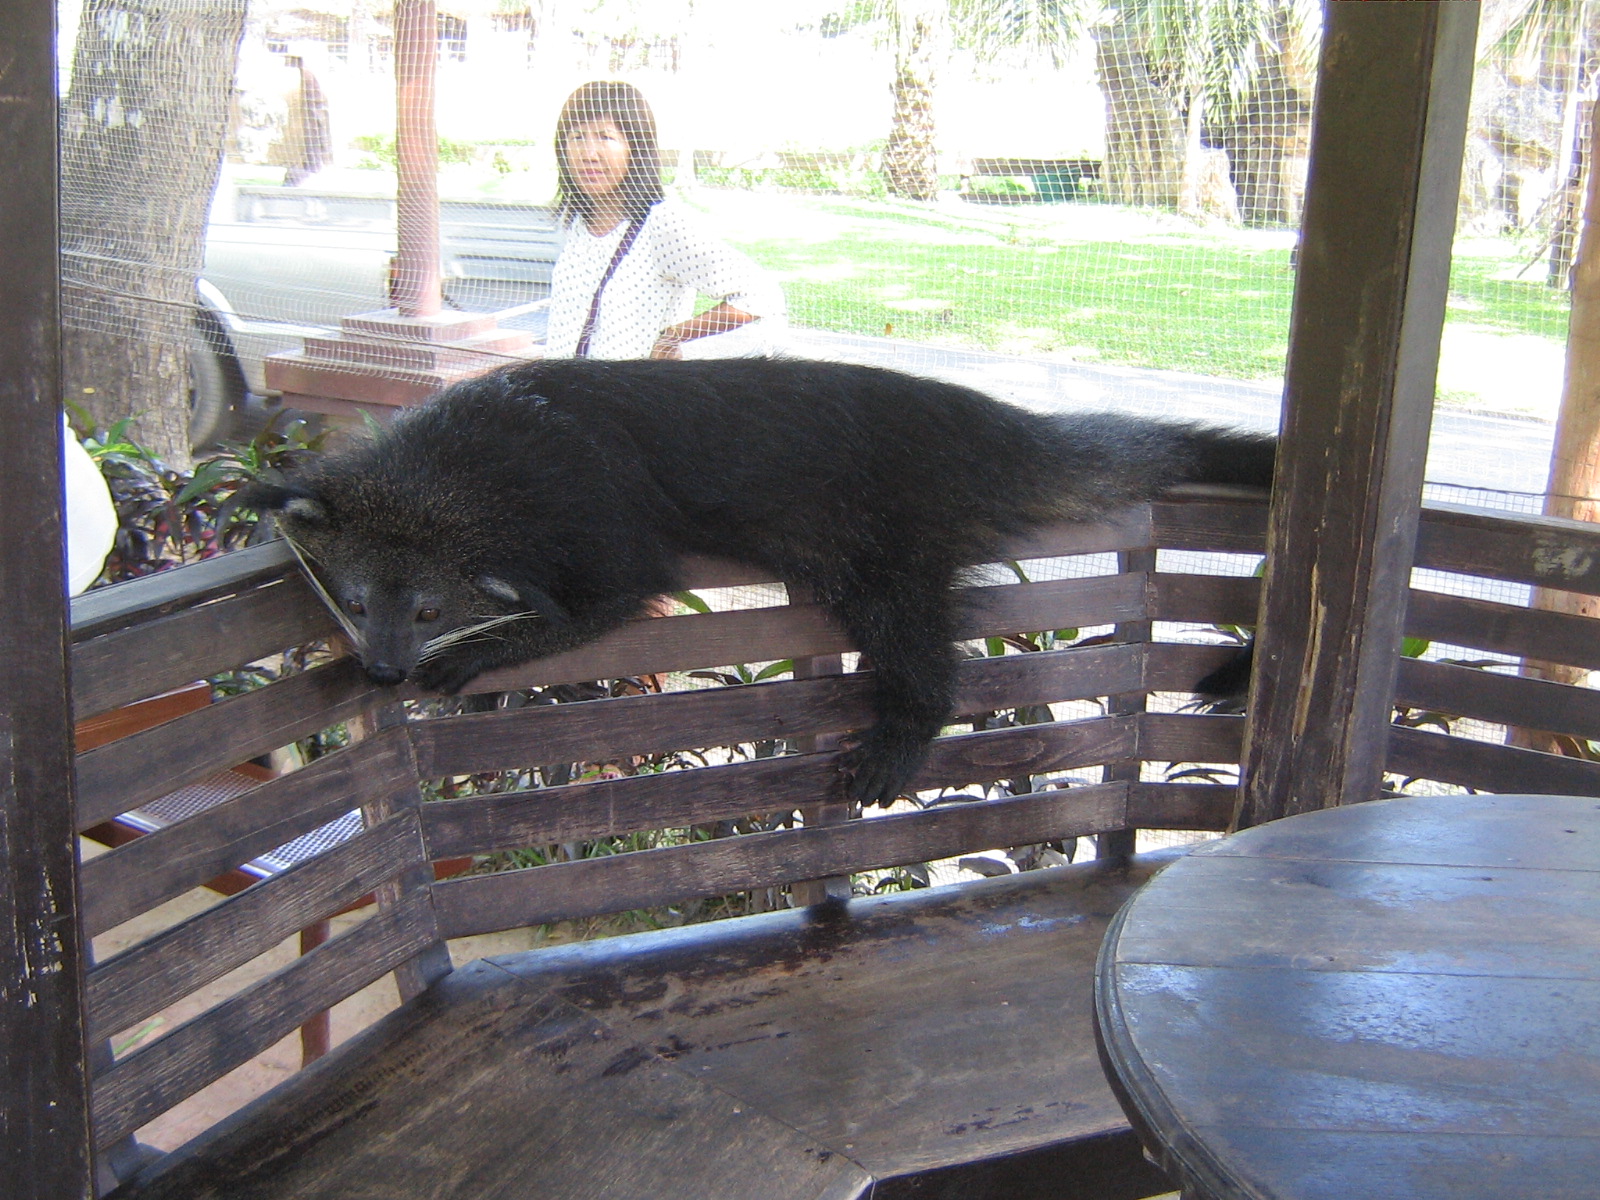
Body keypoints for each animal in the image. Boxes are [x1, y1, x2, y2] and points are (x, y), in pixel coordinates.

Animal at [238, 357, 1274, 806]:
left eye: (425, 610)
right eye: (354, 601)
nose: (379, 671)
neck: (462, 467)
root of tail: (989, 424)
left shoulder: (594, 514)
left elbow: (613, 599)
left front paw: (490, 651)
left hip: (889, 534)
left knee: (911, 637)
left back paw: (909, 723)